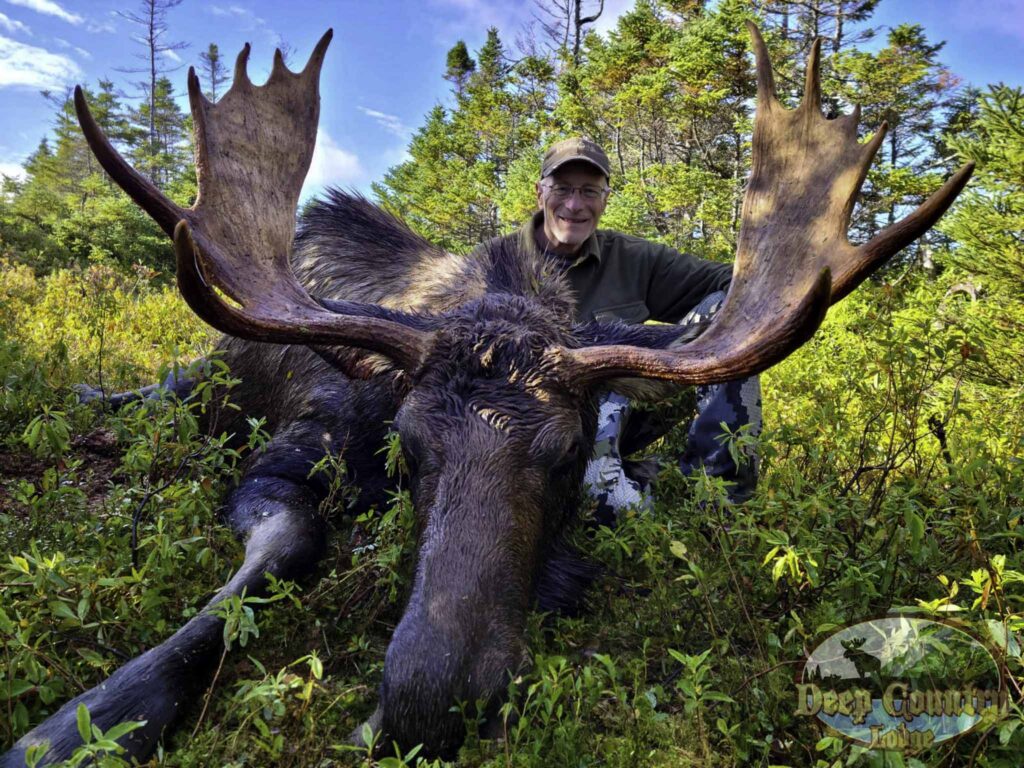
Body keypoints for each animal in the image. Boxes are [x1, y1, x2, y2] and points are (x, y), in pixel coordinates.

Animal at [1, 22, 973, 765]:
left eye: (567, 453)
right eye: (408, 441)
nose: (431, 706)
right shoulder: (286, 457)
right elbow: (275, 557)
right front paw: (84, 724)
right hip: (190, 381)